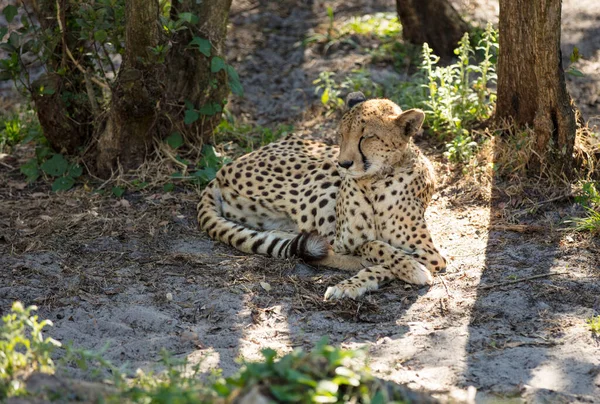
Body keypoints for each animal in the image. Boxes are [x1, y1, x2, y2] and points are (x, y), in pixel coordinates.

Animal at [199, 92, 448, 300]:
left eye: (367, 137)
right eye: (341, 135)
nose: (344, 163)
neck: (375, 180)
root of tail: (222, 170)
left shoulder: (431, 255)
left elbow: (379, 260)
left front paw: (354, 283)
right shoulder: (345, 240)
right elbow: (372, 246)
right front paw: (404, 268)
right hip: (322, 174)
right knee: (317, 247)